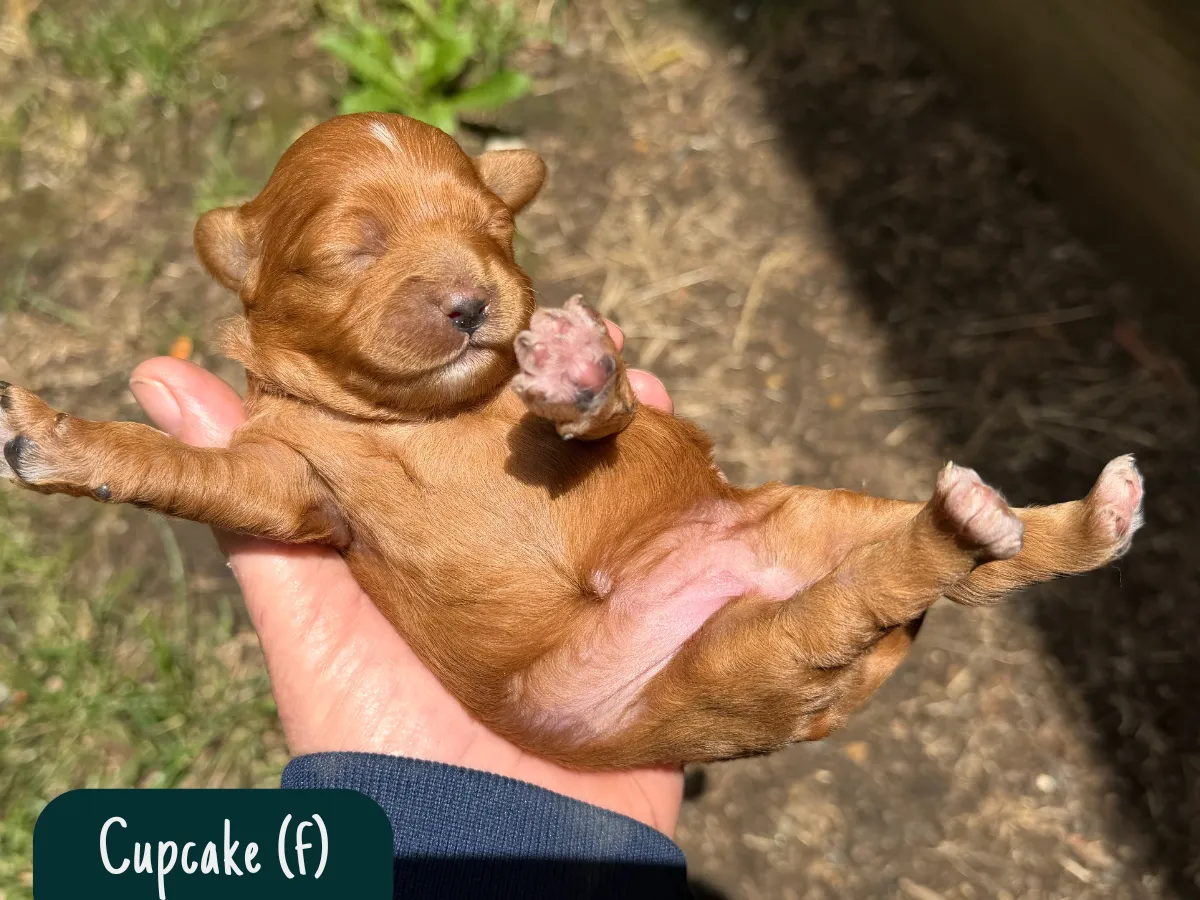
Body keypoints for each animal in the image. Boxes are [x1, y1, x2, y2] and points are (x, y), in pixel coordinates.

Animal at [0, 114, 1144, 768]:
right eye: (349, 250)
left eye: (494, 228)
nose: (473, 301)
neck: (425, 417)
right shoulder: (285, 482)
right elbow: (186, 467)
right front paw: (51, 438)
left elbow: (605, 413)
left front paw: (580, 371)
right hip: (739, 656)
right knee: (891, 591)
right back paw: (1028, 521)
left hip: (798, 549)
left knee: (907, 577)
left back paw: (1045, 517)